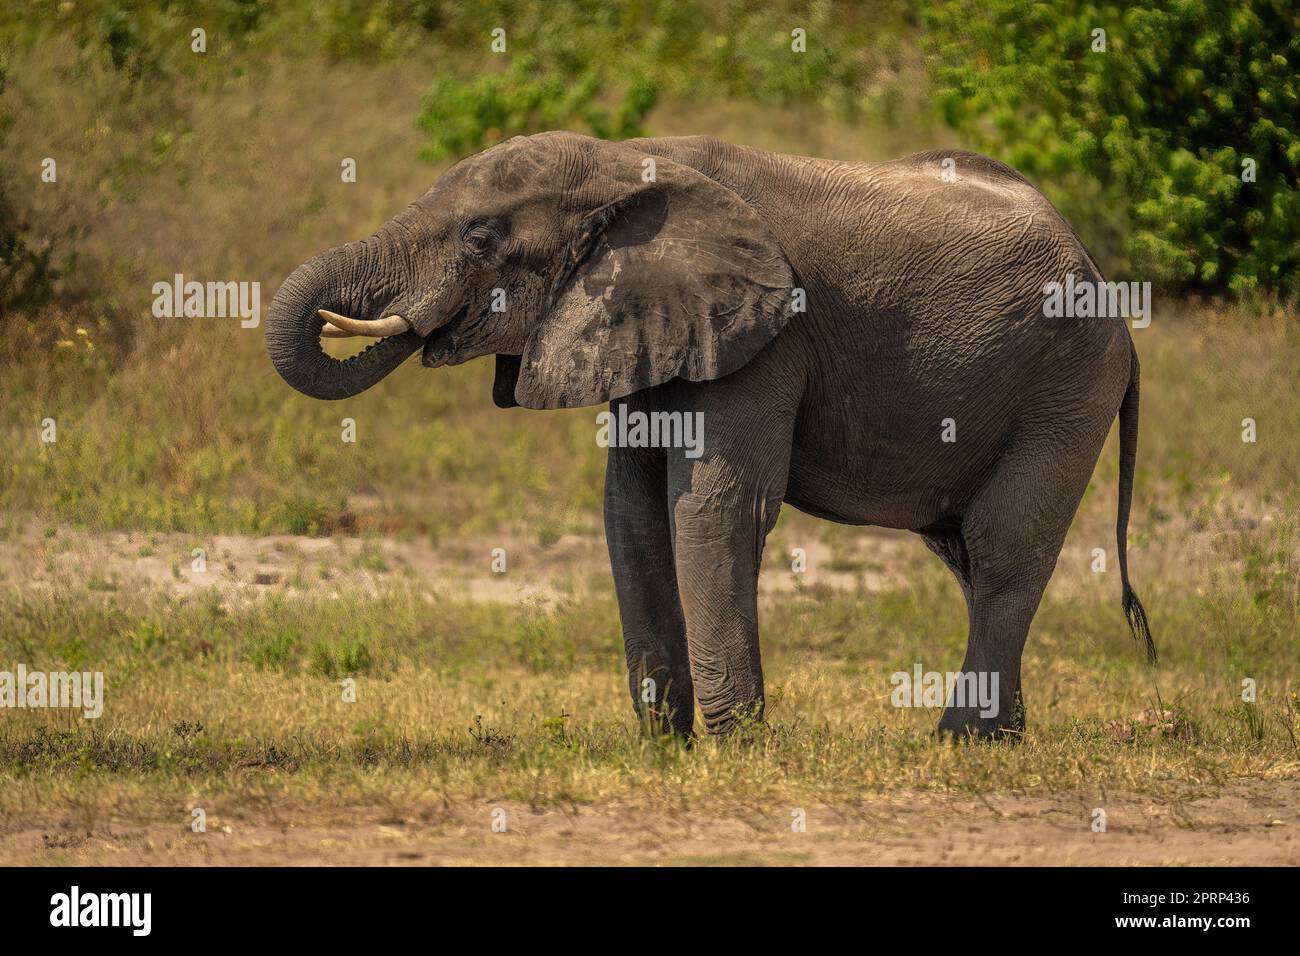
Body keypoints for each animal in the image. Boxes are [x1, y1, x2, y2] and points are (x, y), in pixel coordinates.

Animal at [266, 131, 1153, 740]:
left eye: (481, 240)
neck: (630, 161)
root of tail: (1110, 294)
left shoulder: (767, 332)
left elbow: (718, 507)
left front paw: (735, 744)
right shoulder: (647, 321)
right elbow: (630, 513)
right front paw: (665, 742)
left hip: (1066, 383)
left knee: (1004, 549)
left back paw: (961, 742)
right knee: (964, 554)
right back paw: (1007, 734)